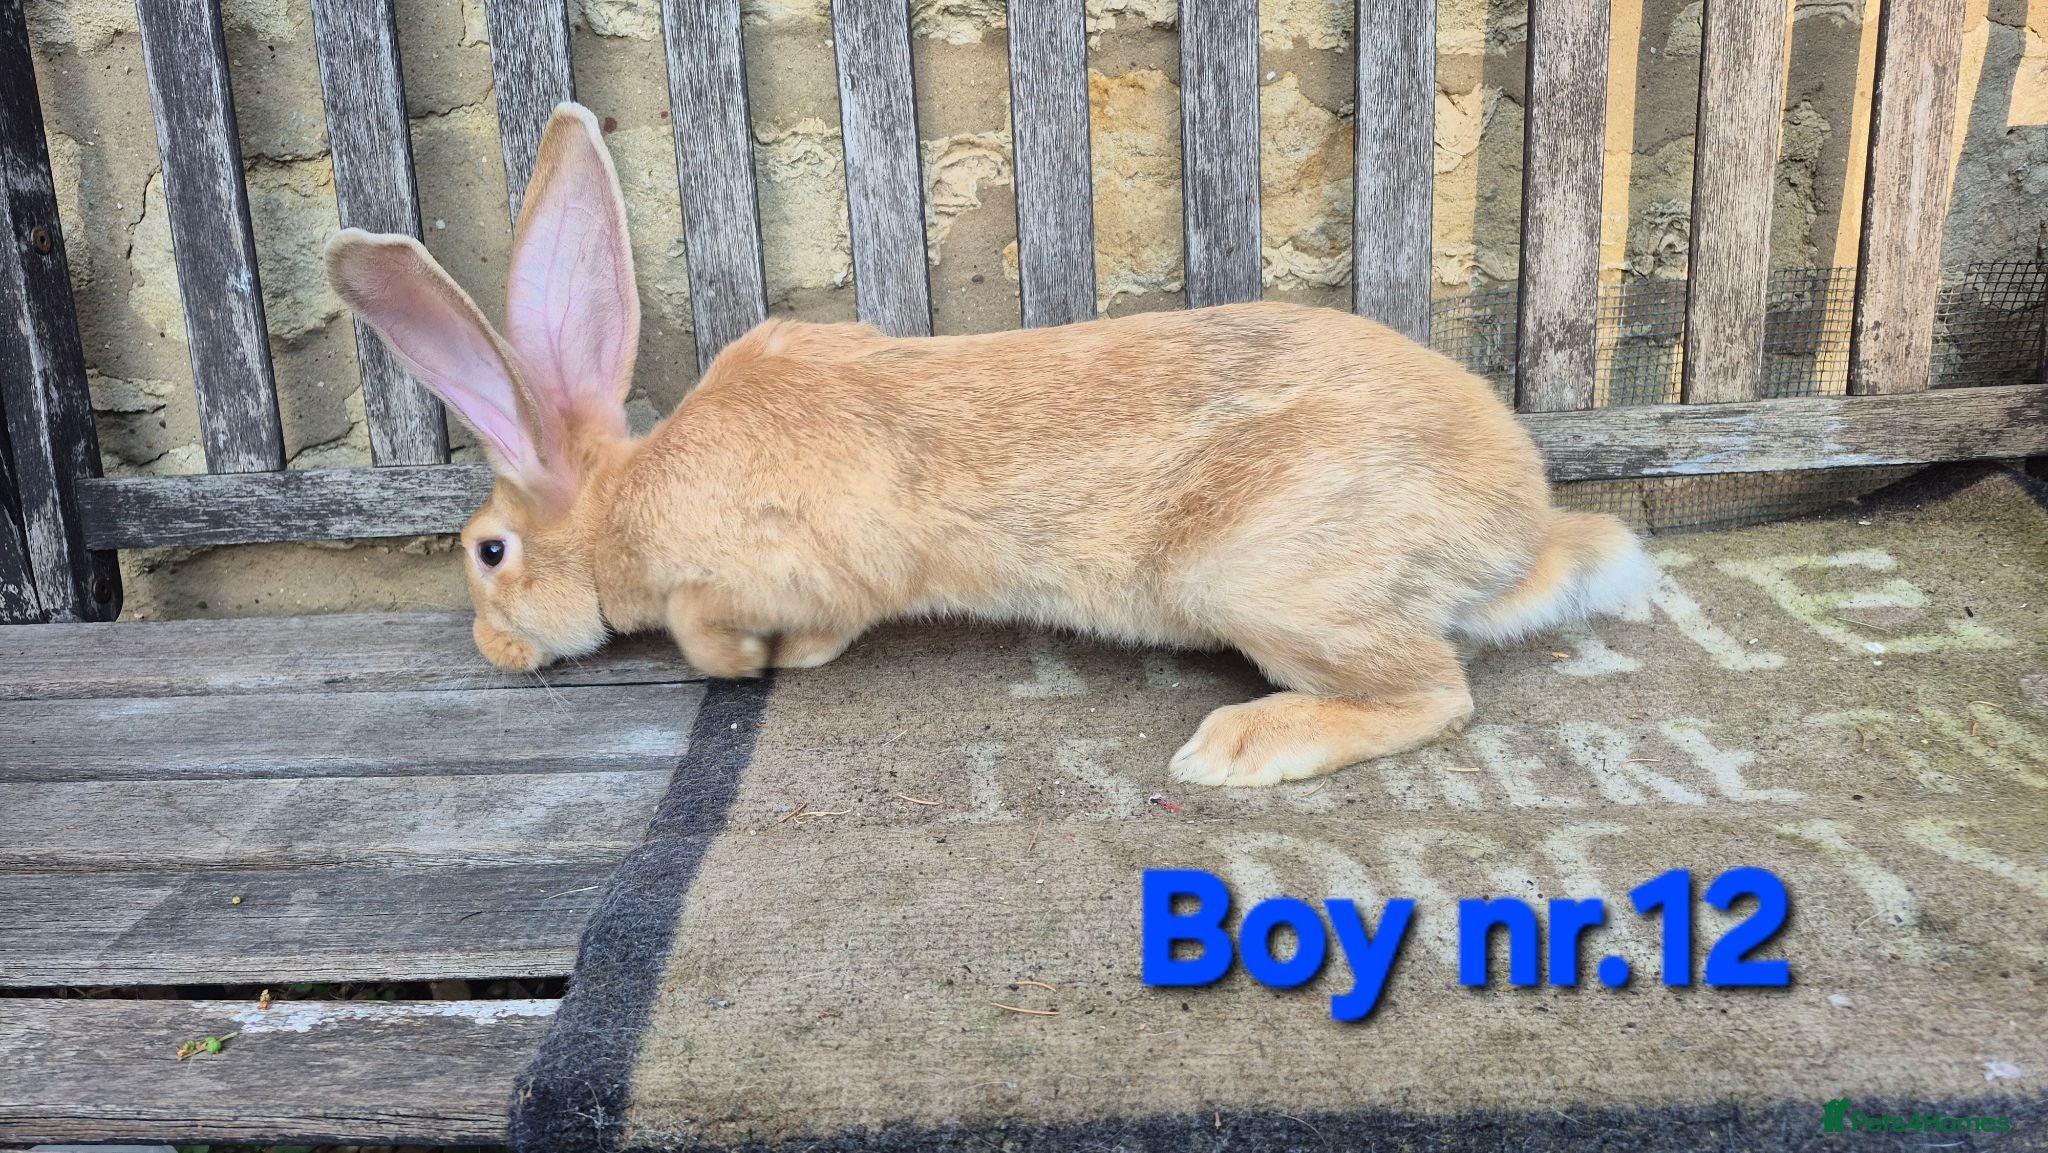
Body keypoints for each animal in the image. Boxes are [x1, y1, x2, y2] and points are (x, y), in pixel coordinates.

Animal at [326, 101, 1655, 789]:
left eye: (488, 552)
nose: (494, 652)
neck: (624, 506)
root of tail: (1522, 529)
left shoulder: (771, 569)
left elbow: (721, 633)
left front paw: (750, 663)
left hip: (1270, 581)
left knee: (1433, 694)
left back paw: (1236, 747)